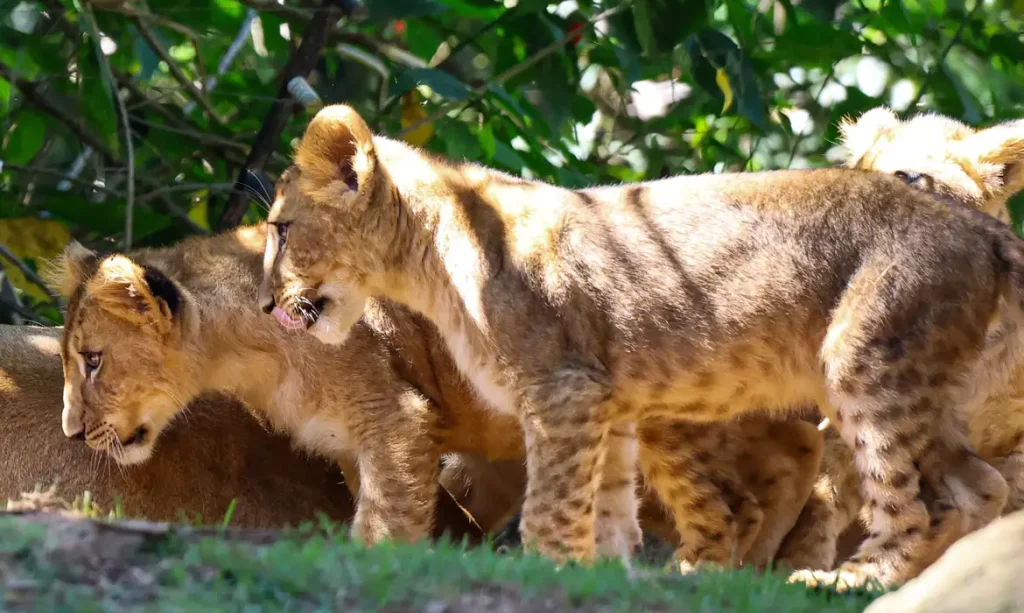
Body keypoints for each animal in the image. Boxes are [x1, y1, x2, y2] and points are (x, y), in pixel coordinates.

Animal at [53, 223, 824, 568]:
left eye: (93, 361)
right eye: (70, 361)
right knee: (797, 461)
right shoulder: (362, 443)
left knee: (741, 499)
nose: (70, 433)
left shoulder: (396, 420)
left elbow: (387, 523)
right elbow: (393, 513)